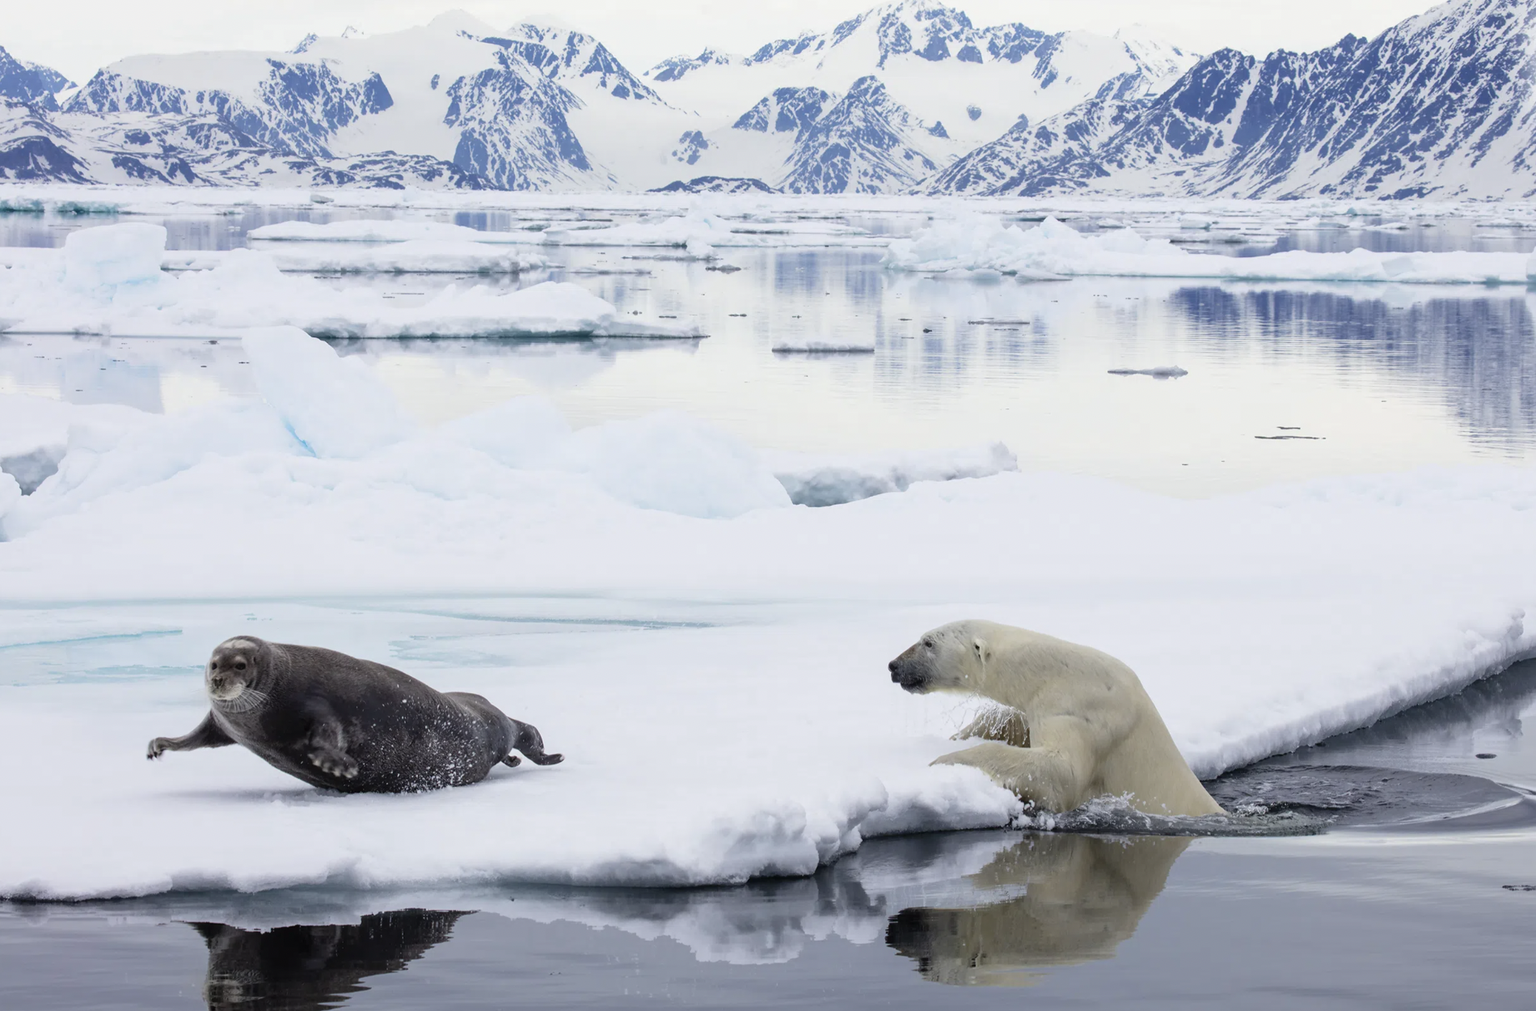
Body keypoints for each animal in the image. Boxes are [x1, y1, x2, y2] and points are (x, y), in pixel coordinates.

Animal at [890, 617, 1222, 817]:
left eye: (929, 642)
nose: (894, 665)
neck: (1057, 674)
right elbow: (1011, 723)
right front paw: (956, 738)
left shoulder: (1085, 713)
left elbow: (1062, 773)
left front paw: (944, 759)